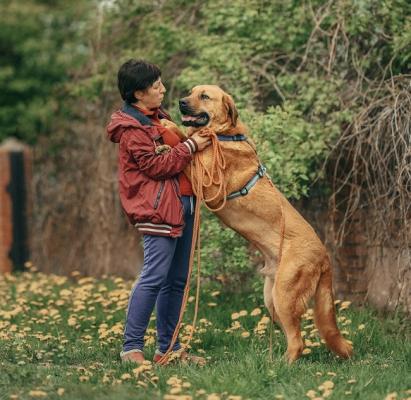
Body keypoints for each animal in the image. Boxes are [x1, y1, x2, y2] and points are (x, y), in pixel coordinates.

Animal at [166, 84, 352, 362]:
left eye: (204, 96)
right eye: (191, 92)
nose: (180, 102)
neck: (223, 136)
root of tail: (325, 257)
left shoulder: (208, 185)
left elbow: (183, 143)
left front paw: (167, 125)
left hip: (283, 295)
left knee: (298, 341)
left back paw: (281, 365)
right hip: (271, 300)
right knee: (295, 335)